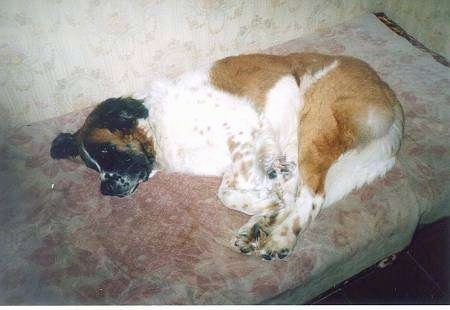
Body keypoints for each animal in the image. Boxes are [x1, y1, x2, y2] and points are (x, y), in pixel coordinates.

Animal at [50, 52, 404, 260]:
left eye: (106, 151)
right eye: (92, 166)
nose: (106, 189)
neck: (157, 128)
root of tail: (389, 92)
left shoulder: (244, 131)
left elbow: (229, 192)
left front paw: (268, 206)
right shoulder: (248, 153)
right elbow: (248, 188)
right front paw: (265, 209)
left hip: (313, 128)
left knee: (311, 197)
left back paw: (280, 239)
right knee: (298, 192)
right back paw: (258, 228)